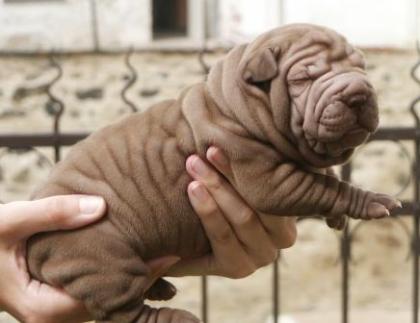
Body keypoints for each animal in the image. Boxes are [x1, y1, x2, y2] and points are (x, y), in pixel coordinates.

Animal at [26, 24, 400, 322]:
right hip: (99, 255)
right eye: (304, 78)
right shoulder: (268, 179)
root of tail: (31, 247)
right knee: (123, 309)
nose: (359, 91)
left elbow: (326, 178)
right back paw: (173, 315)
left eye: (361, 68)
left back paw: (158, 286)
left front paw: (336, 215)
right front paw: (372, 201)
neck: (236, 103)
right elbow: (326, 186)